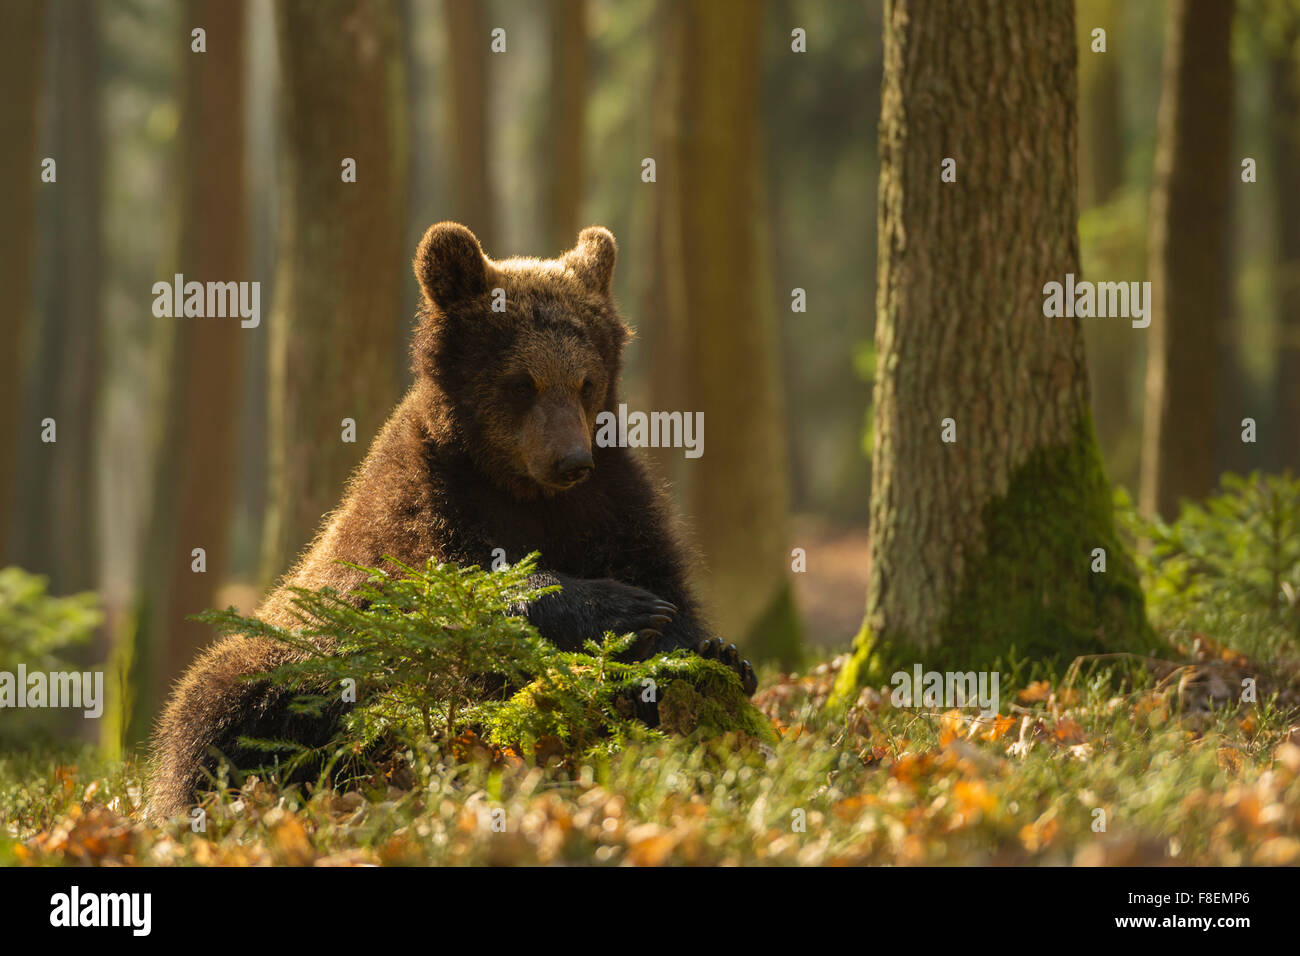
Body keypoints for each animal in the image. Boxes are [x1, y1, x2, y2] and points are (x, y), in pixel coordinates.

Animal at [147, 222, 756, 821]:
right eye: (523, 381)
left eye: (586, 381)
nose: (570, 461)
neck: (518, 486)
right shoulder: (427, 501)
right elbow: (451, 585)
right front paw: (625, 608)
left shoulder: (609, 499)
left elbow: (659, 571)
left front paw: (712, 648)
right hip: (289, 658)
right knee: (218, 706)